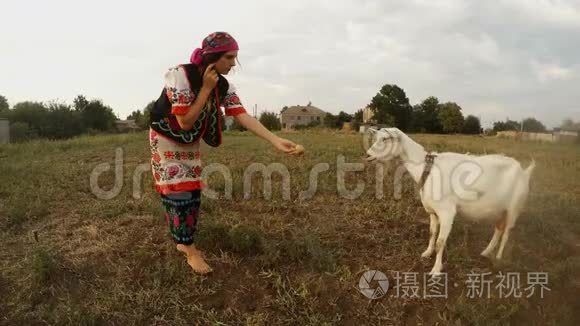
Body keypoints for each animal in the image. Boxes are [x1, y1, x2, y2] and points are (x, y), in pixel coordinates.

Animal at [368, 128, 536, 276]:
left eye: (385, 139)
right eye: (376, 138)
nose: (368, 155)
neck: (426, 168)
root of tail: (524, 171)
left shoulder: (447, 212)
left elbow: (440, 242)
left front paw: (436, 270)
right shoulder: (433, 212)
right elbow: (432, 233)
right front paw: (427, 253)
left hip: (514, 208)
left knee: (506, 233)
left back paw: (499, 257)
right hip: (500, 209)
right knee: (499, 228)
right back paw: (486, 252)